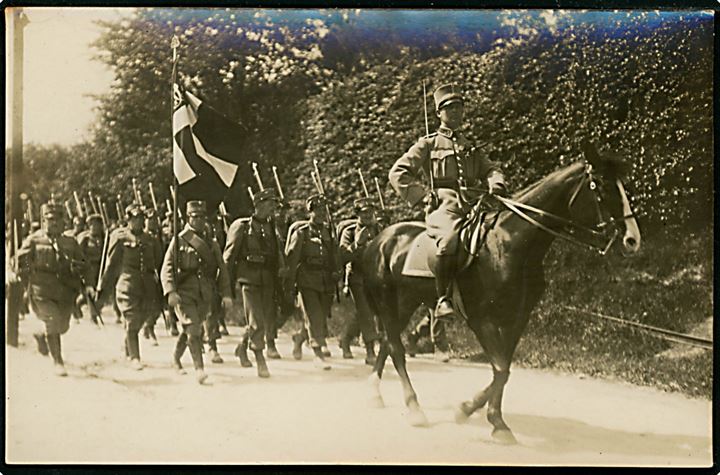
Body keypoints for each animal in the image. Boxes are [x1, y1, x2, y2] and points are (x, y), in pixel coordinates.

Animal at [360, 140, 640, 442]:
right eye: (601, 185)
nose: (632, 240)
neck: (510, 243)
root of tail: (379, 239)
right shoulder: (482, 319)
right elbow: (500, 368)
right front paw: (484, 417)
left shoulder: (516, 319)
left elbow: (503, 369)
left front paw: (477, 412)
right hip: (387, 301)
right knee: (396, 348)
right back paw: (414, 409)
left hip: (406, 302)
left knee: (388, 343)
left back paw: (374, 393)